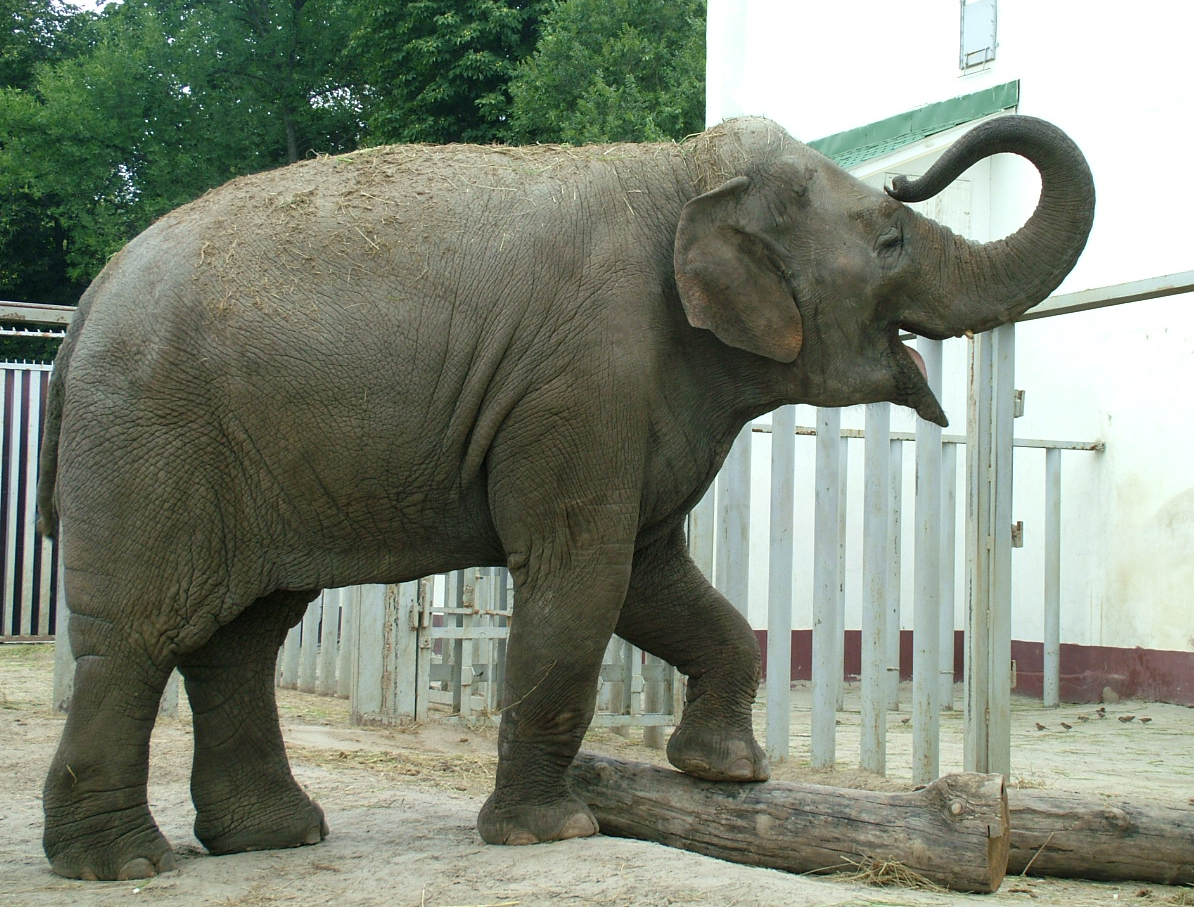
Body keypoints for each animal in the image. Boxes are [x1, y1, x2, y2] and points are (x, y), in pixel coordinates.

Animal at [39, 111, 1093, 878]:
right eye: (890, 239)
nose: (908, 178)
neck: (683, 172)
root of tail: (88, 300)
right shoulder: (584, 381)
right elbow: (581, 581)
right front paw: (554, 832)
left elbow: (656, 580)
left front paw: (722, 771)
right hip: (148, 443)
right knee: (140, 635)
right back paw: (126, 865)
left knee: (242, 639)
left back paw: (276, 836)